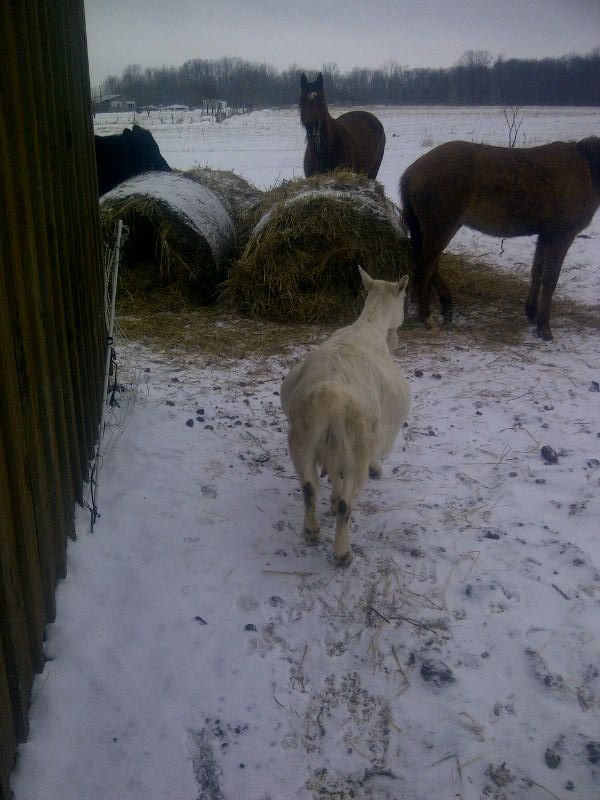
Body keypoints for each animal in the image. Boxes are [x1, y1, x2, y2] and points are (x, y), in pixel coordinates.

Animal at [280, 267, 411, 566]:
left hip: (302, 438)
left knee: (309, 487)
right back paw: (342, 553)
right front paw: (377, 470)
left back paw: (312, 531)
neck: (370, 326)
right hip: (355, 449)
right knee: (346, 503)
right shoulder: (376, 438)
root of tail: (330, 396)